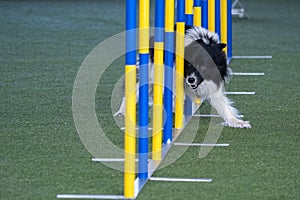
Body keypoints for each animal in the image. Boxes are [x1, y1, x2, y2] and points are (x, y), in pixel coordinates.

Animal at [113, 26, 250, 128]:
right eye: (189, 65)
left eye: (204, 67)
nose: (191, 80)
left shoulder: (213, 86)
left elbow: (224, 107)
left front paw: (237, 122)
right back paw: (122, 112)